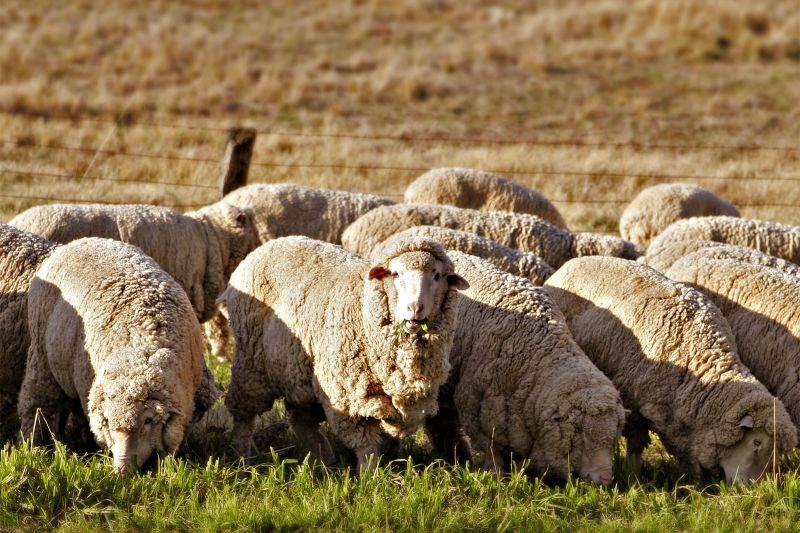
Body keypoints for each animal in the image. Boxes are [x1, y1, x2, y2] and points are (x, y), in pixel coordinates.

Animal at [18, 238, 209, 473]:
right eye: (108, 421)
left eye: (148, 421)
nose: (121, 470)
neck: (142, 347)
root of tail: (78, 241)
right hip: (41, 357)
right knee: (36, 405)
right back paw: (32, 446)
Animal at [222, 235, 468, 469]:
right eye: (396, 274)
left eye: (437, 276)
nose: (415, 309)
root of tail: (269, 244)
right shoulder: (348, 397)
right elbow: (366, 446)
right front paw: (370, 476)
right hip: (250, 362)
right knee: (244, 414)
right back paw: (242, 457)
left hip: (299, 373)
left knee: (300, 417)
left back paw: (322, 458)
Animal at [397, 249, 626, 485]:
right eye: (582, 436)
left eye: (613, 437)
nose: (605, 479)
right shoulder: (476, 406)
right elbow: (489, 447)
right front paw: (494, 475)